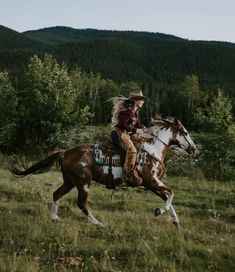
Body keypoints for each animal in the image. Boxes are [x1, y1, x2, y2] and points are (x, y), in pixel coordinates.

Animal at [7, 116, 196, 227]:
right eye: (186, 132)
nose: (193, 148)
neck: (152, 149)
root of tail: (66, 152)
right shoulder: (152, 181)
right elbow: (171, 193)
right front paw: (159, 212)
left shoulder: (151, 185)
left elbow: (168, 197)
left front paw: (175, 220)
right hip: (83, 183)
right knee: (81, 203)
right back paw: (97, 223)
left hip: (70, 182)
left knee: (56, 194)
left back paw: (55, 218)